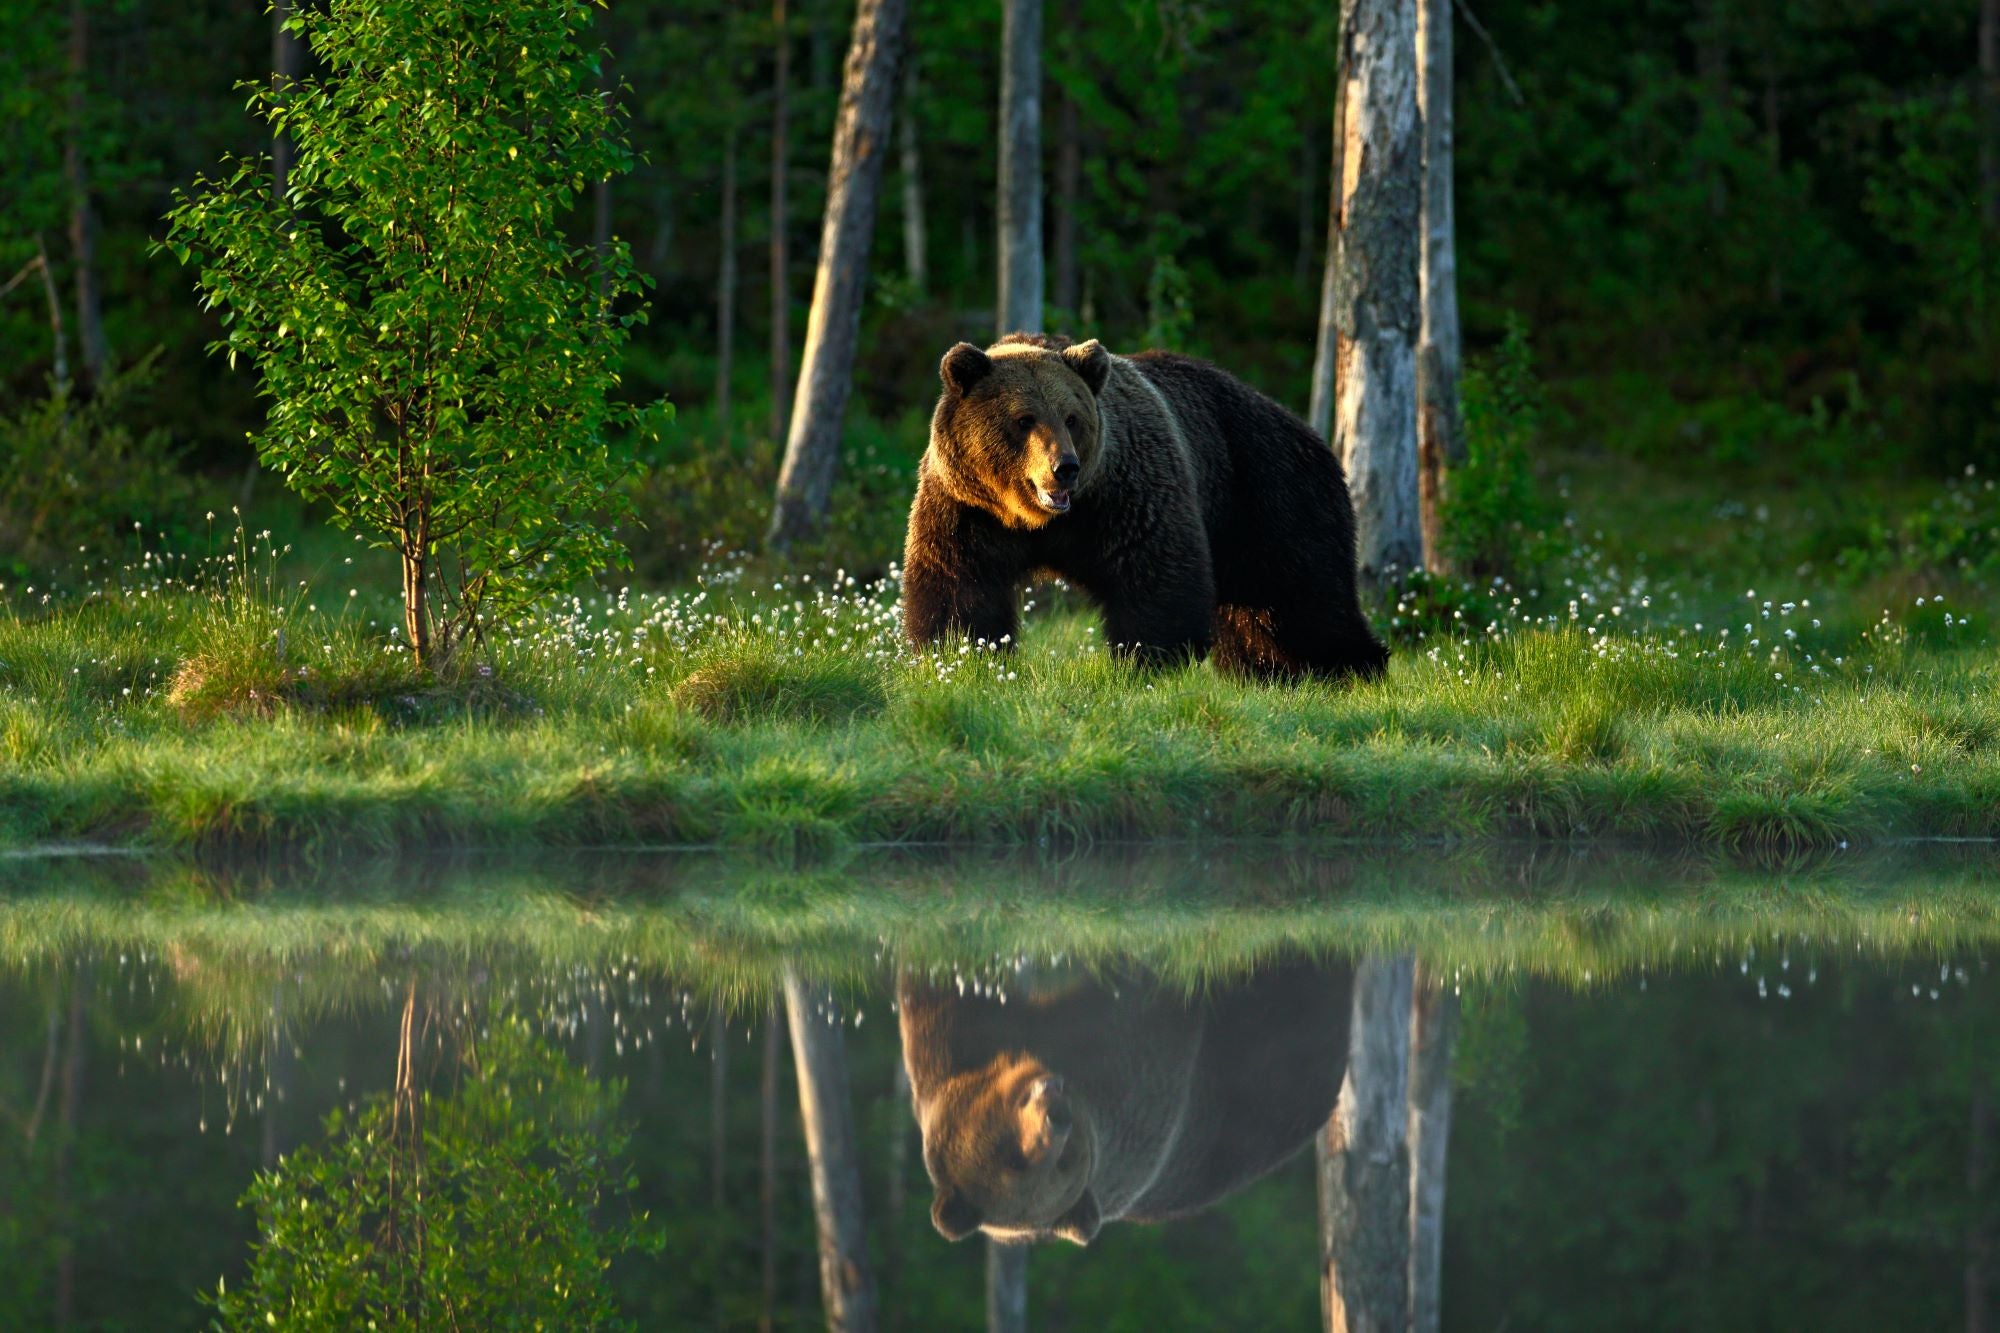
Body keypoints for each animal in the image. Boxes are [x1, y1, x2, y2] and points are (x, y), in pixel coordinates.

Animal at [900, 330, 1384, 680]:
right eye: (1024, 419)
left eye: (1072, 418)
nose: (1065, 467)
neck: (1039, 521)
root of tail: (1308, 431)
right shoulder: (967, 509)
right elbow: (958, 587)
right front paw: (961, 654)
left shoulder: (1127, 495)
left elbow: (1155, 578)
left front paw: (1149, 660)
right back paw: (1268, 671)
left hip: (1268, 489)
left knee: (1304, 594)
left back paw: (1348, 667)